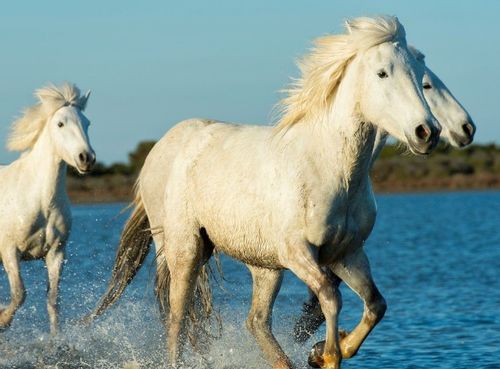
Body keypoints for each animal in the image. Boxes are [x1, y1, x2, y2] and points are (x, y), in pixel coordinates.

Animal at [0, 83, 94, 334]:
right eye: (60, 124)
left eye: (87, 123)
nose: (86, 158)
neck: (41, 202)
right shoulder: (10, 250)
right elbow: (19, 294)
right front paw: (3, 321)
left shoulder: (55, 252)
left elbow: (52, 300)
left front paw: (56, 340)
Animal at [92, 16, 440, 368]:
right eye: (382, 73)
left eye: (419, 75)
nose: (427, 133)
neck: (330, 168)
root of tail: (162, 148)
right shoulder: (297, 252)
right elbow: (330, 297)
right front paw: (327, 354)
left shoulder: (347, 252)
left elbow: (375, 305)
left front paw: (320, 352)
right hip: (185, 249)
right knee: (177, 321)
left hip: (264, 267)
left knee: (256, 321)